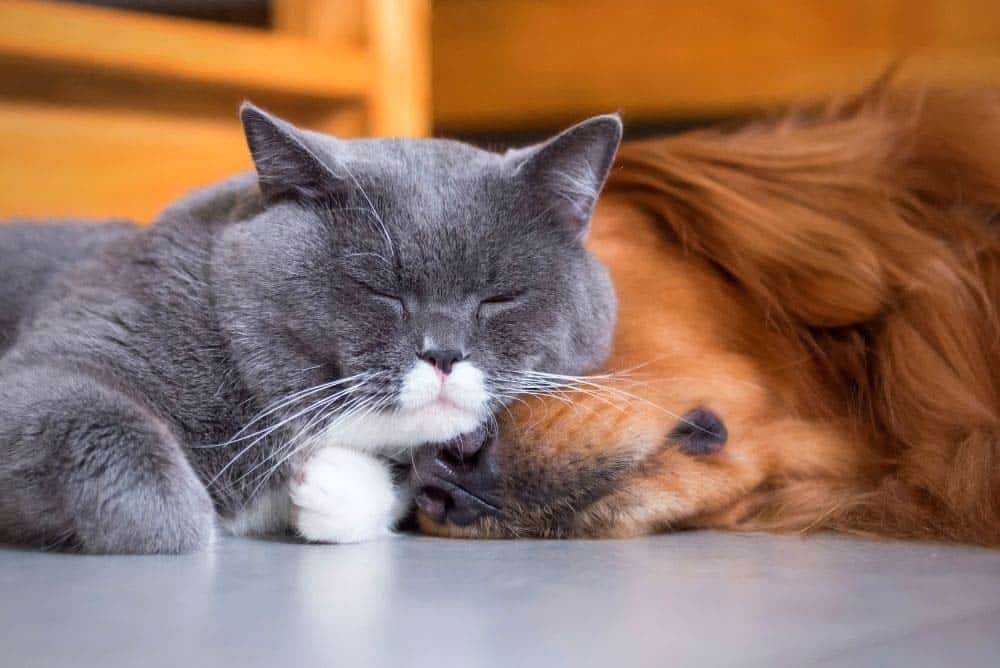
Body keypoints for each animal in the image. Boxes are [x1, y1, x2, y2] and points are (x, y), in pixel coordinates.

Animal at [0, 104, 616, 552]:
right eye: (380, 290)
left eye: (499, 297)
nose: (444, 353)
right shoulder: (81, 342)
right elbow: (115, 439)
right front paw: (188, 522)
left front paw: (331, 486)